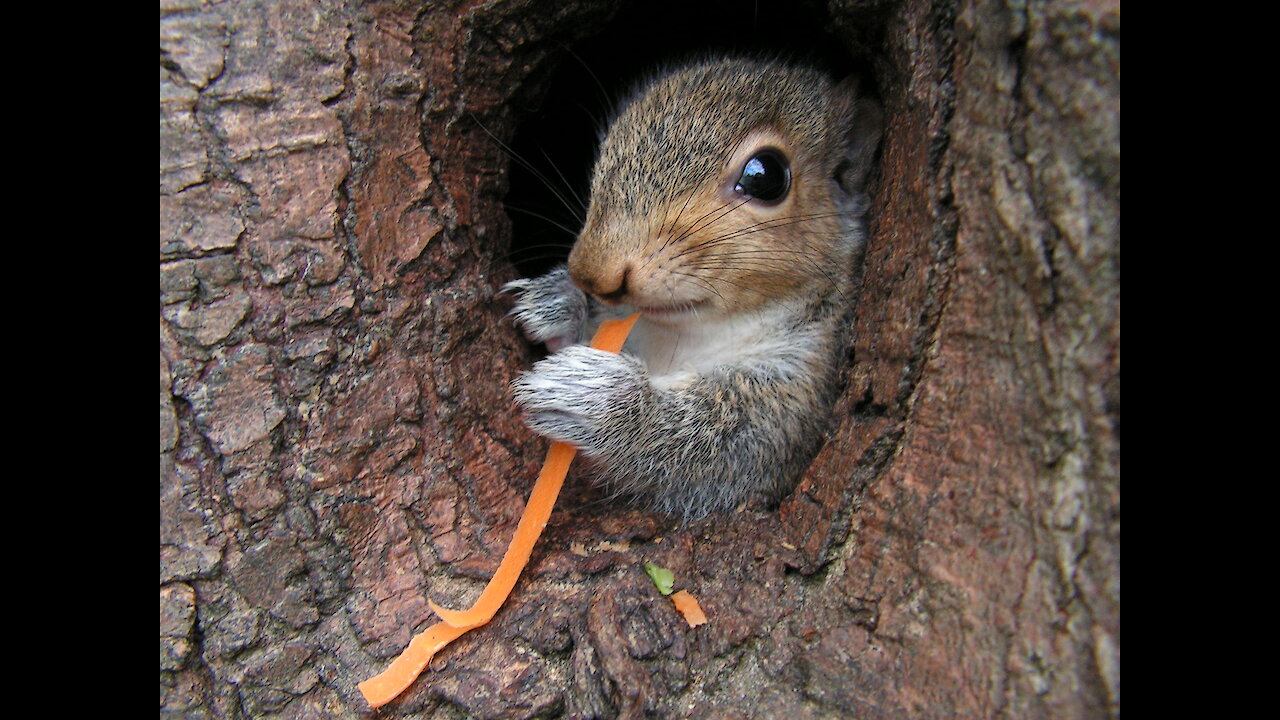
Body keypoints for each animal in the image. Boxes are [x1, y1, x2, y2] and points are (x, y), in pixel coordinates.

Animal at [499, 54, 880, 515]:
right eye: (611, 142)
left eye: (766, 176)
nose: (591, 274)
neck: (687, 333)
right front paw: (558, 302)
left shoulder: (805, 385)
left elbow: (738, 445)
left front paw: (606, 404)